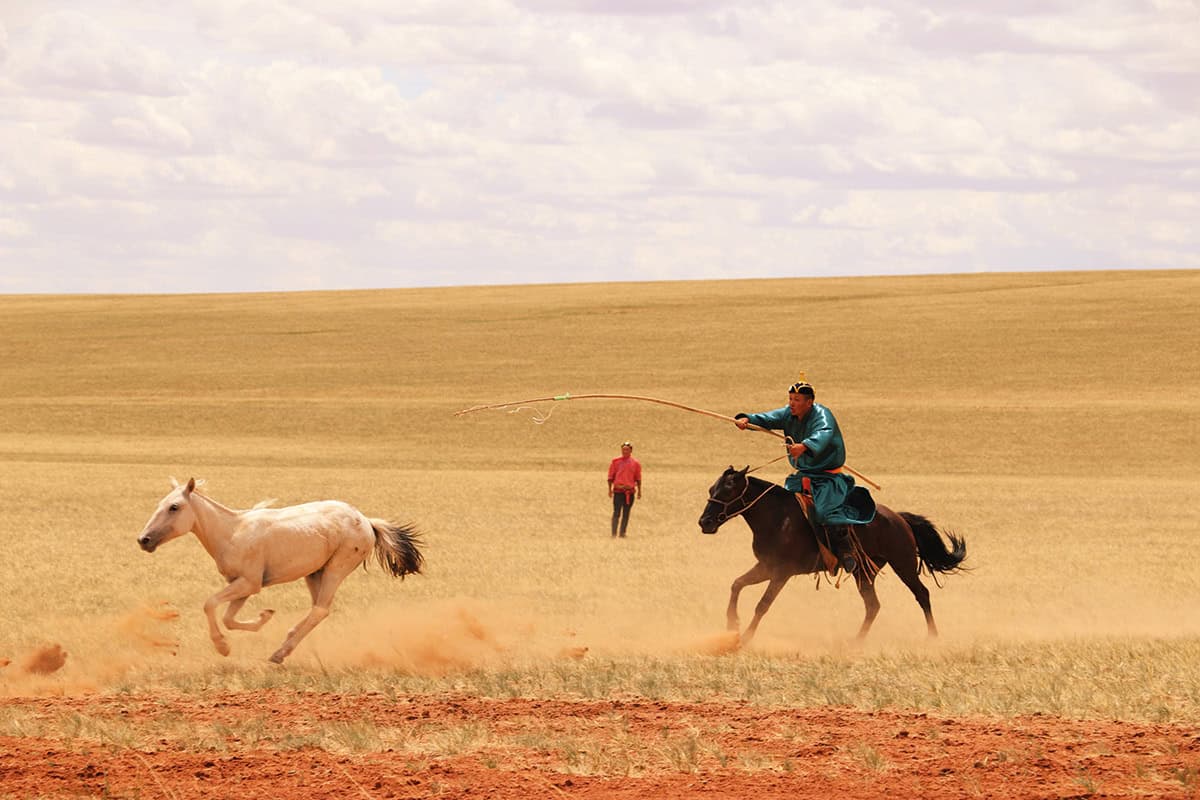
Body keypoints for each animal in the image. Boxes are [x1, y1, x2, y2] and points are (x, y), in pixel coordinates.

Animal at [136, 478, 423, 664]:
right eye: (160, 504)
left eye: (174, 507)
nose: (144, 540)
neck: (231, 532)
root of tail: (367, 521)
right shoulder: (243, 586)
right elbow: (229, 618)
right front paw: (264, 616)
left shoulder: (248, 583)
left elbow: (210, 604)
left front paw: (222, 646)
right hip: (314, 573)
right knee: (319, 610)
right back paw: (283, 648)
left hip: (336, 569)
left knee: (320, 609)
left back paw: (279, 653)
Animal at [698, 466, 966, 647]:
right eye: (712, 489)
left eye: (728, 489)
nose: (705, 522)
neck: (777, 518)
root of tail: (899, 518)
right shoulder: (766, 566)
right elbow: (737, 584)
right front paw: (732, 623)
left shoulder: (782, 572)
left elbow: (762, 604)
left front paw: (744, 638)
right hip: (864, 571)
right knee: (873, 605)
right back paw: (857, 641)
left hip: (903, 564)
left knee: (922, 594)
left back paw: (932, 637)